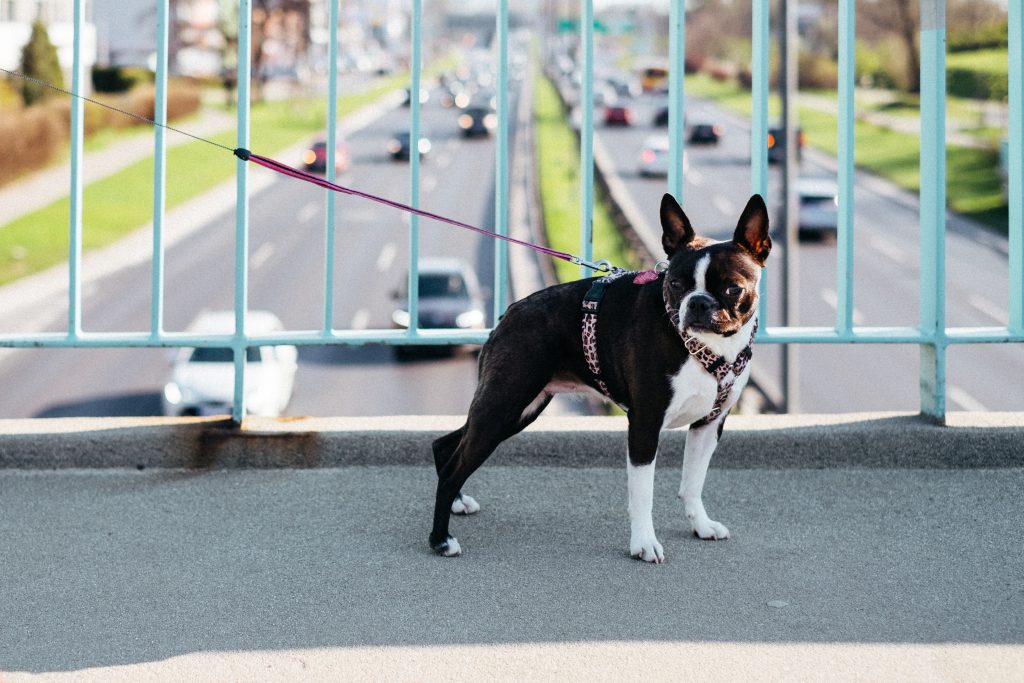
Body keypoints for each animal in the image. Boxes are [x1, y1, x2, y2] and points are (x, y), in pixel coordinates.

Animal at [428, 192, 770, 561]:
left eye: (733, 289)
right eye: (676, 285)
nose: (698, 303)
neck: (707, 347)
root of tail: (510, 312)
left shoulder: (709, 425)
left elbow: (693, 483)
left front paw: (702, 526)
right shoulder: (645, 425)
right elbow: (643, 494)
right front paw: (644, 544)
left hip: (520, 409)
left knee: (446, 446)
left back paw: (457, 504)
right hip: (504, 404)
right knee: (454, 468)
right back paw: (440, 539)